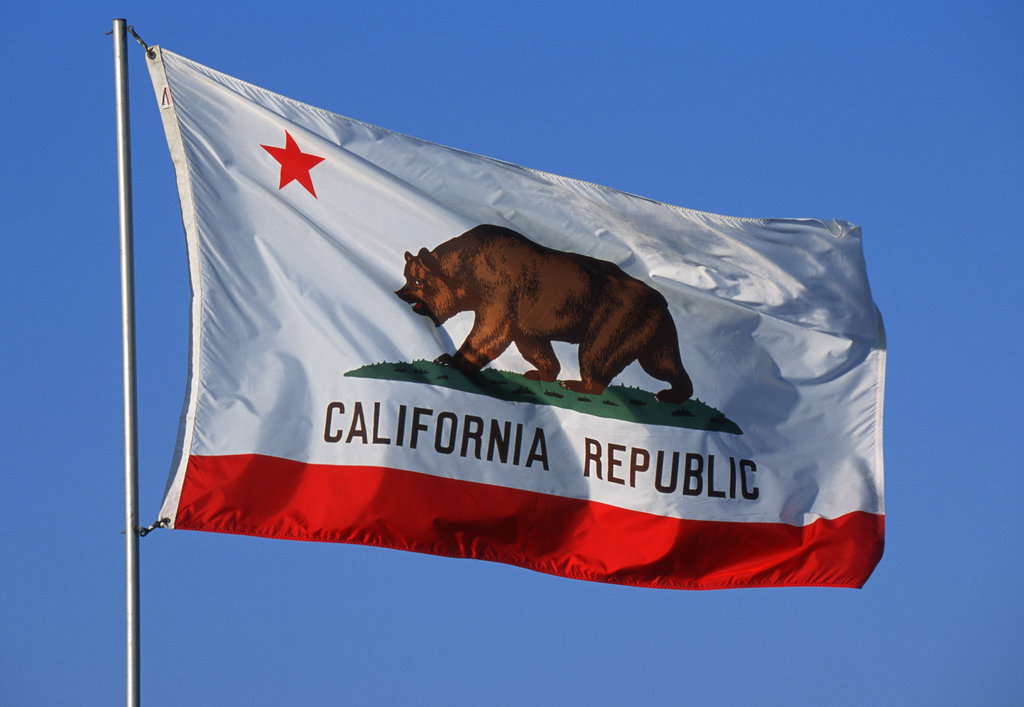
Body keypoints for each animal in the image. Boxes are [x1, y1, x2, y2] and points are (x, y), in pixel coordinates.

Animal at [393, 224, 696, 401]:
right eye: (407, 276)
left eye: (417, 281)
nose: (399, 293)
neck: (467, 272)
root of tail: (661, 299)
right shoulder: (525, 320)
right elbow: (533, 346)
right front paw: (543, 372)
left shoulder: (500, 297)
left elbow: (487, 333)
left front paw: (450, 360)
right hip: (653, 333)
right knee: (663, 362)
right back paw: (673, 393)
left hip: (617, 316)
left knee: (596, 353)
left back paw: (578, 385)